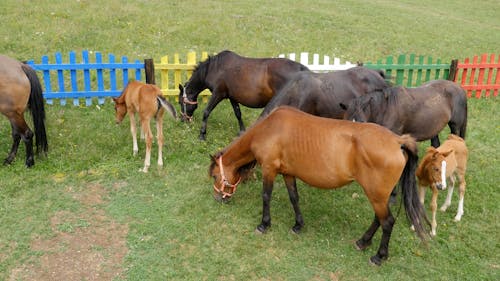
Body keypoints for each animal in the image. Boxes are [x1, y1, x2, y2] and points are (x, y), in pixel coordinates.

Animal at [176, 49, 308, 140]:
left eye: (181, 102)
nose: (183, 119)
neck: (214, 68)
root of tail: (301, 69)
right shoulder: (232, 97)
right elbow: (238, 113)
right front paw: (242, 132)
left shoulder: (218, 93)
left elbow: (206, 112)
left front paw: (202, 135)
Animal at [207, 105, 430, 264]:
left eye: (216, 176)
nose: (218, 198)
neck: (270, 129)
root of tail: (398, 141)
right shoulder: (288, 173)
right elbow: (294, 198)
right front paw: (298, 225)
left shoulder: (269, 170)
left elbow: (266, 196)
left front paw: (264, 224)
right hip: (379, 196)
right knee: (379, 219)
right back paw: (362, 242)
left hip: (376, 195)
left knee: (387, 222)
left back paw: (378, 256)